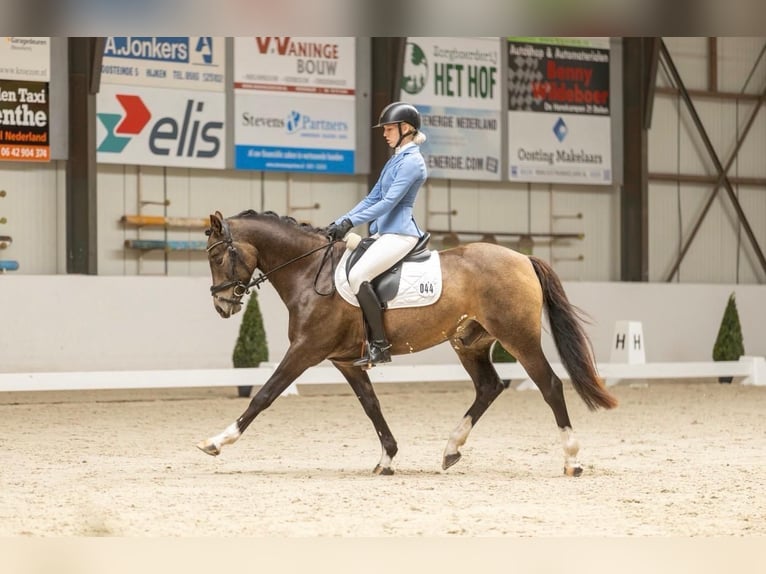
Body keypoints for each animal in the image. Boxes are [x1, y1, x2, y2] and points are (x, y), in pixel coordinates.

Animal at [197, 209, 618, 476]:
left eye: (217, 256)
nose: (221, 305)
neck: (308, 271)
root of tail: (523, 258)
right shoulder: (344, 360)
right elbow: (371, 406)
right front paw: (387, 459)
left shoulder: (305, 350)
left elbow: (264, 395)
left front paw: (218, 441)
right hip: (469, 342)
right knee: (489, 386)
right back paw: (451, 450)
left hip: (518, 337)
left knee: (550, 385)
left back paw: (572, 460)